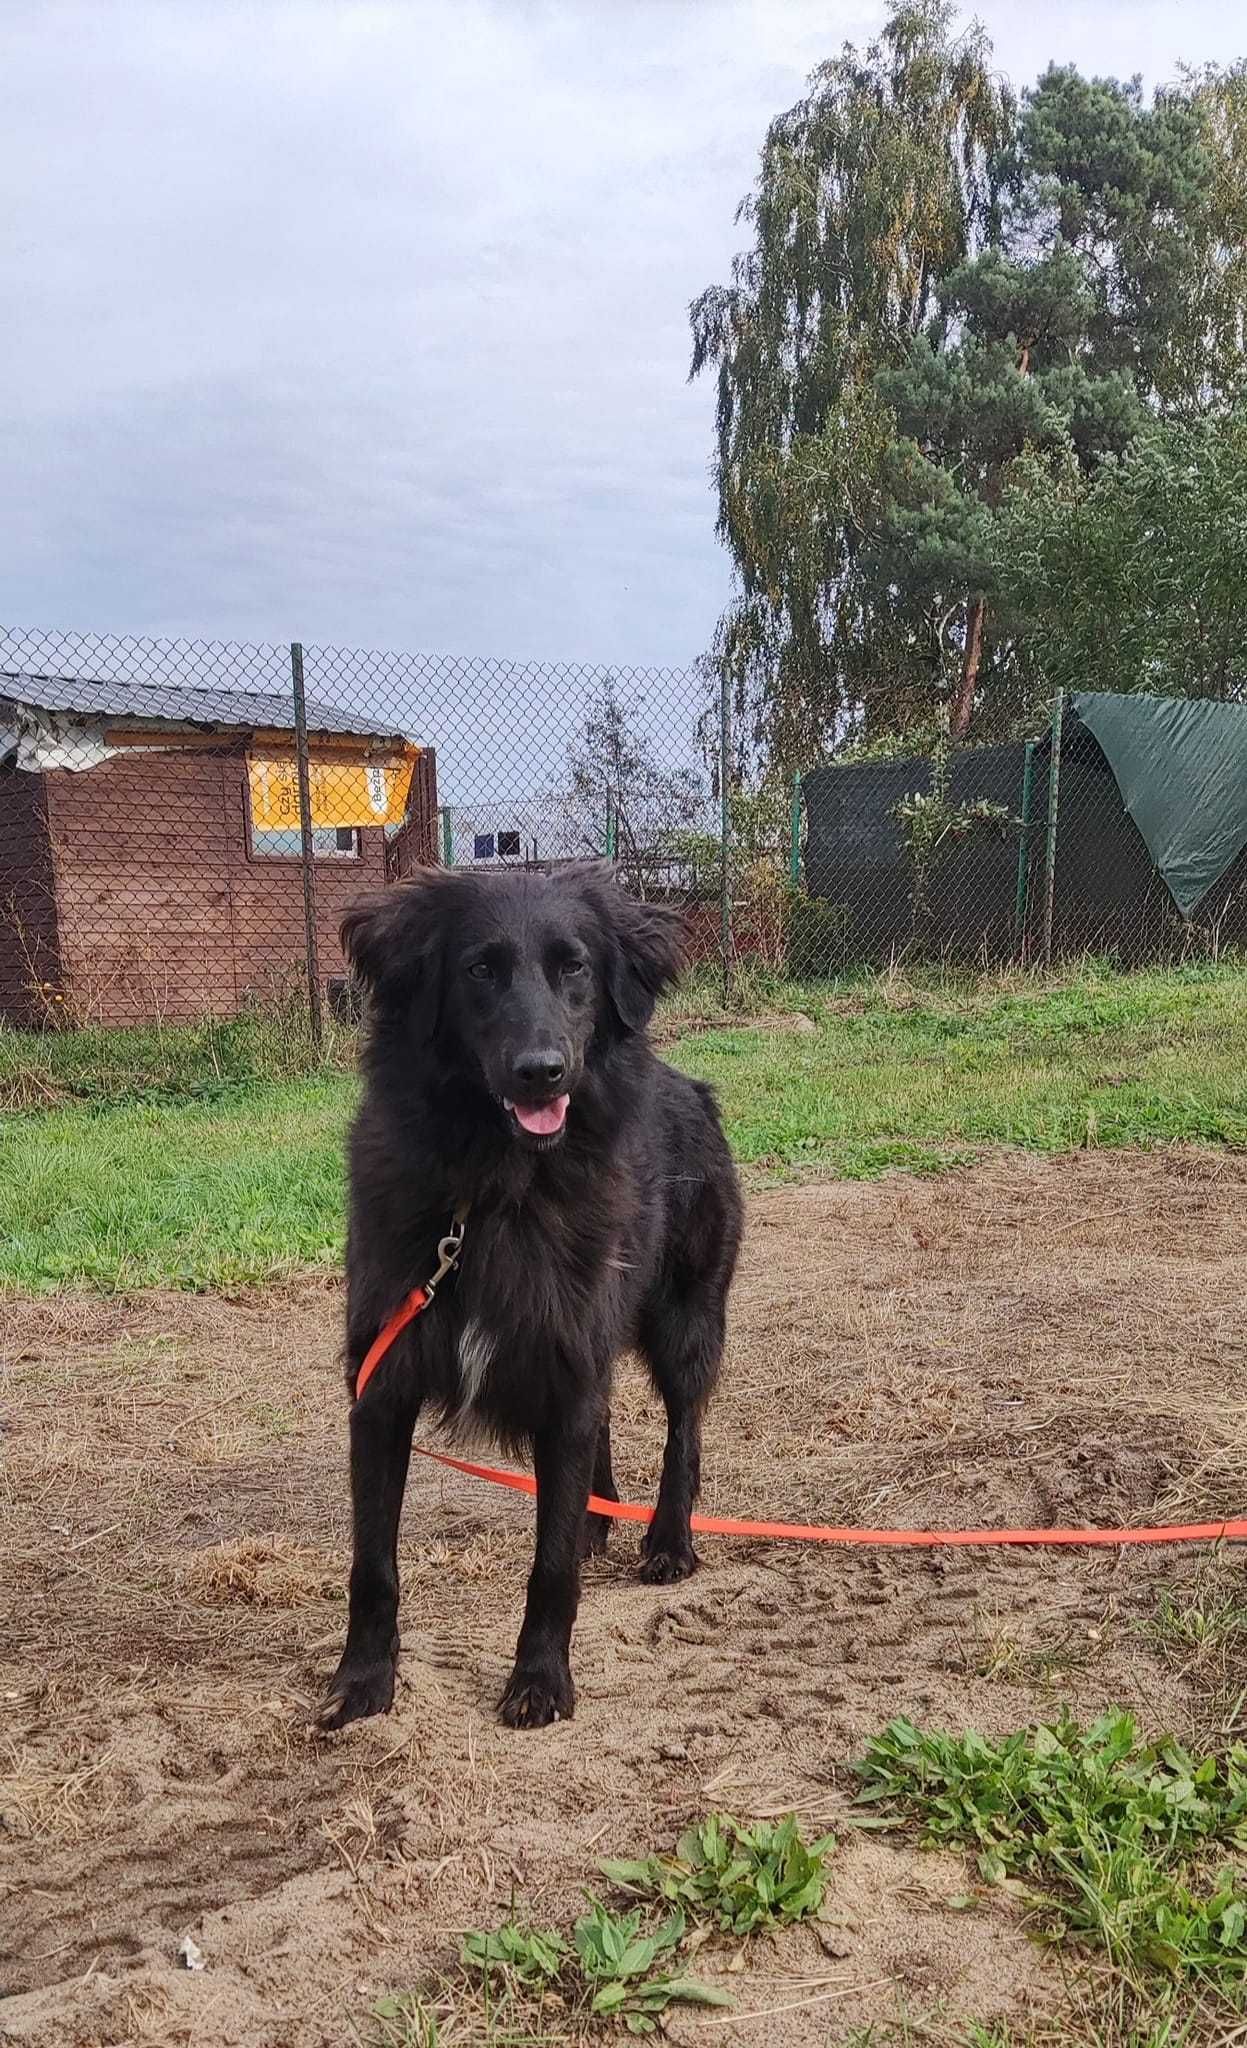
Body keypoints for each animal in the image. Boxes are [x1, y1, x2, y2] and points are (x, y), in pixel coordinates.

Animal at [319, 856, 737, 1736]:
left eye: (572, 966)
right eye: (479, 970)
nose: (542, 1071)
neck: (489, 1194)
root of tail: (690, 1084)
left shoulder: (567, 1367)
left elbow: (547, 1572)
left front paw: (540, 1679)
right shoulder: (381, 1388)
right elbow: (372, 1563)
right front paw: (363, 1679)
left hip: (686, 1319)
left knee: (682, 1430)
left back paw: (667, 1539)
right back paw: (595, 1519)